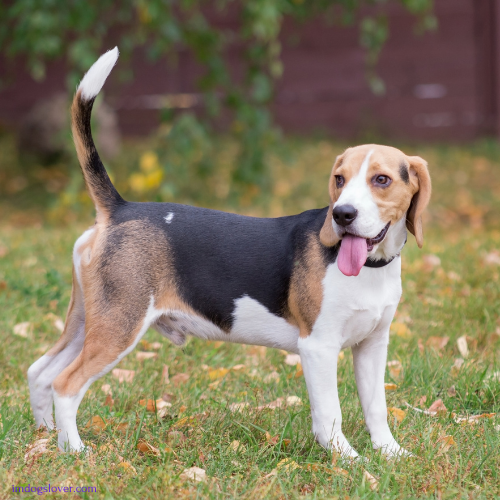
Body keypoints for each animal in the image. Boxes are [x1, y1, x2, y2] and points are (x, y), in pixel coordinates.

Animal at [27, 48, 432, 458]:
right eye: (340, 180)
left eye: (381, 180)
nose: (342, 214)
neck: (371, 268)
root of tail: (121, 209)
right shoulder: (318, 347)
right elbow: (330, 414)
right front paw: (347, 459)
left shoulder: (373, 345)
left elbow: (376, 407)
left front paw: (391, 453)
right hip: (119, 325)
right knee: (65, 384)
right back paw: (75, 450)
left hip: (88, 321)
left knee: (40, 372)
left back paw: (46, 437)